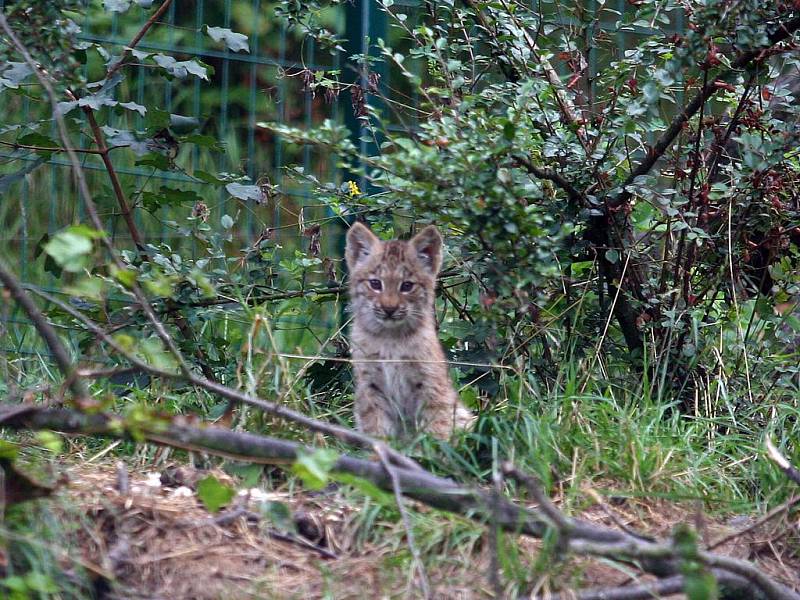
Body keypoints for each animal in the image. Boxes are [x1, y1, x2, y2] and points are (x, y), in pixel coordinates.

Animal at [346, 223, 476, 438]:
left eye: (407, 286)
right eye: (375, 284)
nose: (389, 309)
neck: (389, 337)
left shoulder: (430, 384)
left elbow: (436, 426)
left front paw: (434, 447)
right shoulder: (370, 385)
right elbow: (376, 427)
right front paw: (379, 446)